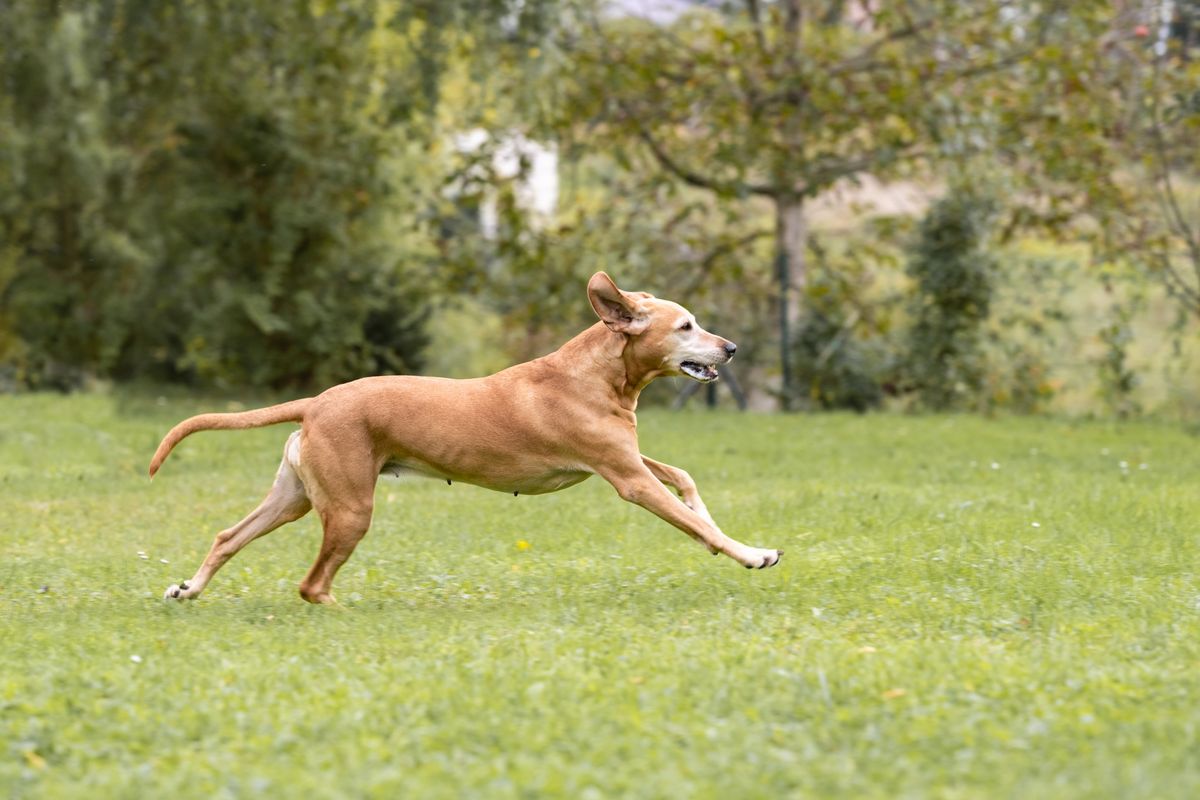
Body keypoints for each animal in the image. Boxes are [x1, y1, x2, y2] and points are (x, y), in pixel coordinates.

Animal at [150, 272, 782, 604]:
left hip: (296, 497)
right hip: (350, 509)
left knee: (229, 536)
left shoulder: (626, 458)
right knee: (310, 584)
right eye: (686, 325)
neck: (599, 372)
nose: (731, 348)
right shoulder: (625, 476)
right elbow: (693, 518)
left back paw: (190, 588)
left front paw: (709, 519)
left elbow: (685, 481)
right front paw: (753, 552)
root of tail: (318, 401)